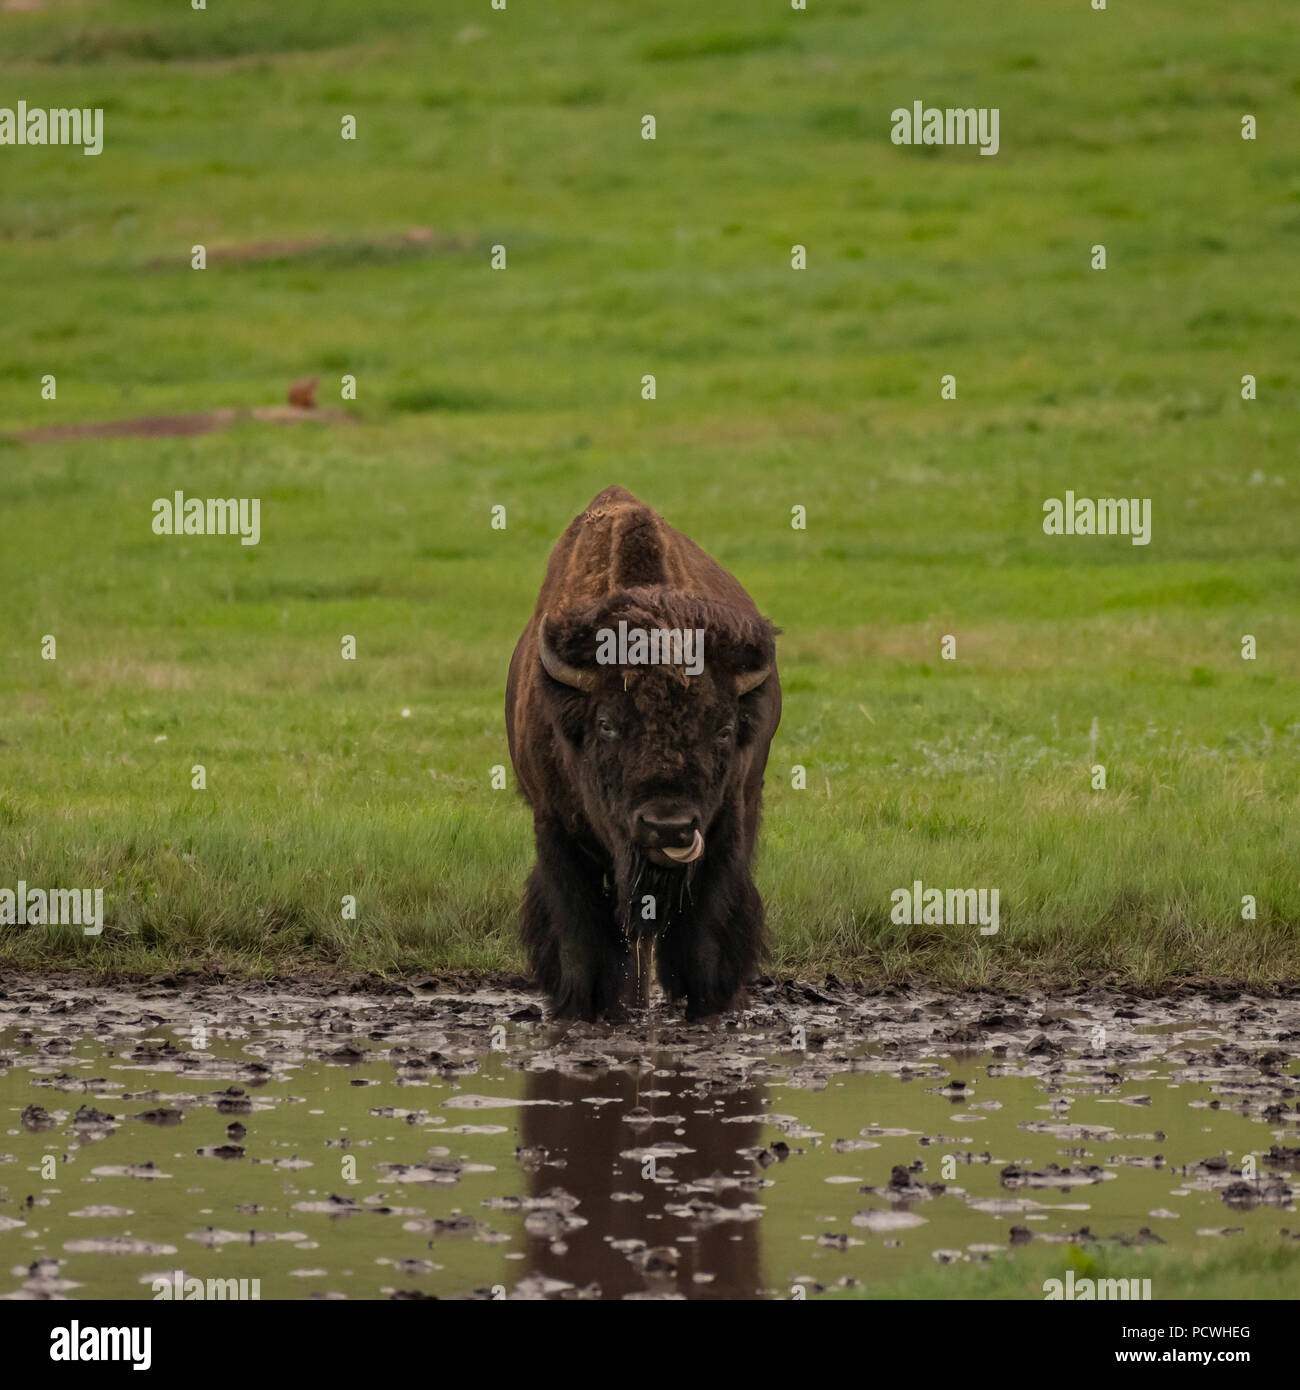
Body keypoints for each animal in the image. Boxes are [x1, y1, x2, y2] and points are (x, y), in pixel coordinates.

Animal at [505, 486, 781, 1021]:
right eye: (607, 724)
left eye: (723, 730)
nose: (667, 826)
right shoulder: (555, 830)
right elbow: (579, 940)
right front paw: (582, 1009)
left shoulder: (724, 831)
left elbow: (705, 940)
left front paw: (708, 1009)